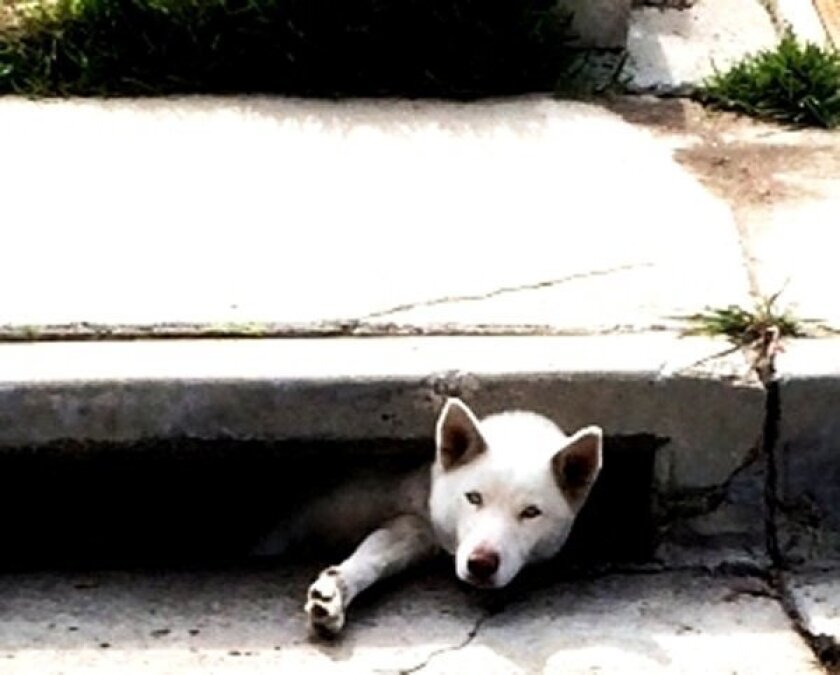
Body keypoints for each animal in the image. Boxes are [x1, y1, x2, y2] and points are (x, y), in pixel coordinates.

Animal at [260, 398, 600, 636]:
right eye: (473, 498)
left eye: (531, 513)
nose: (481, 564)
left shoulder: (415, 530)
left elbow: (373, 556)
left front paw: (337, 589)